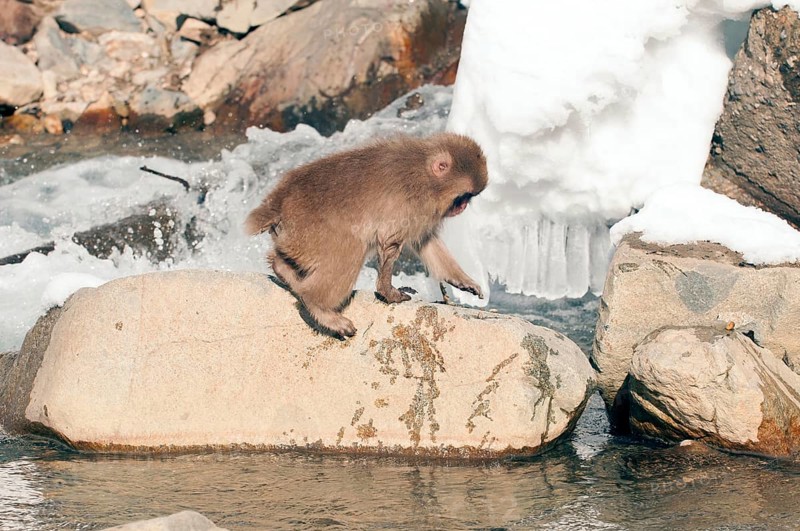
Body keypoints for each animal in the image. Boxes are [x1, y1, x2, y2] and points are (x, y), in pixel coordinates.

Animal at [245, 132, 488, 338]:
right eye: (462, 197)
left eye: (469, 197)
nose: (463, 207)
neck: (425, 174)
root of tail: (277, 202)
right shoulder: (411, 204)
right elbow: (390, 244)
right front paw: (388, 292)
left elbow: (426, 243)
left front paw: (462, 281)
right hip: (310, 231)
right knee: (351, 248)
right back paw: (320, 308)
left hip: (297, 239)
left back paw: (282, 269)